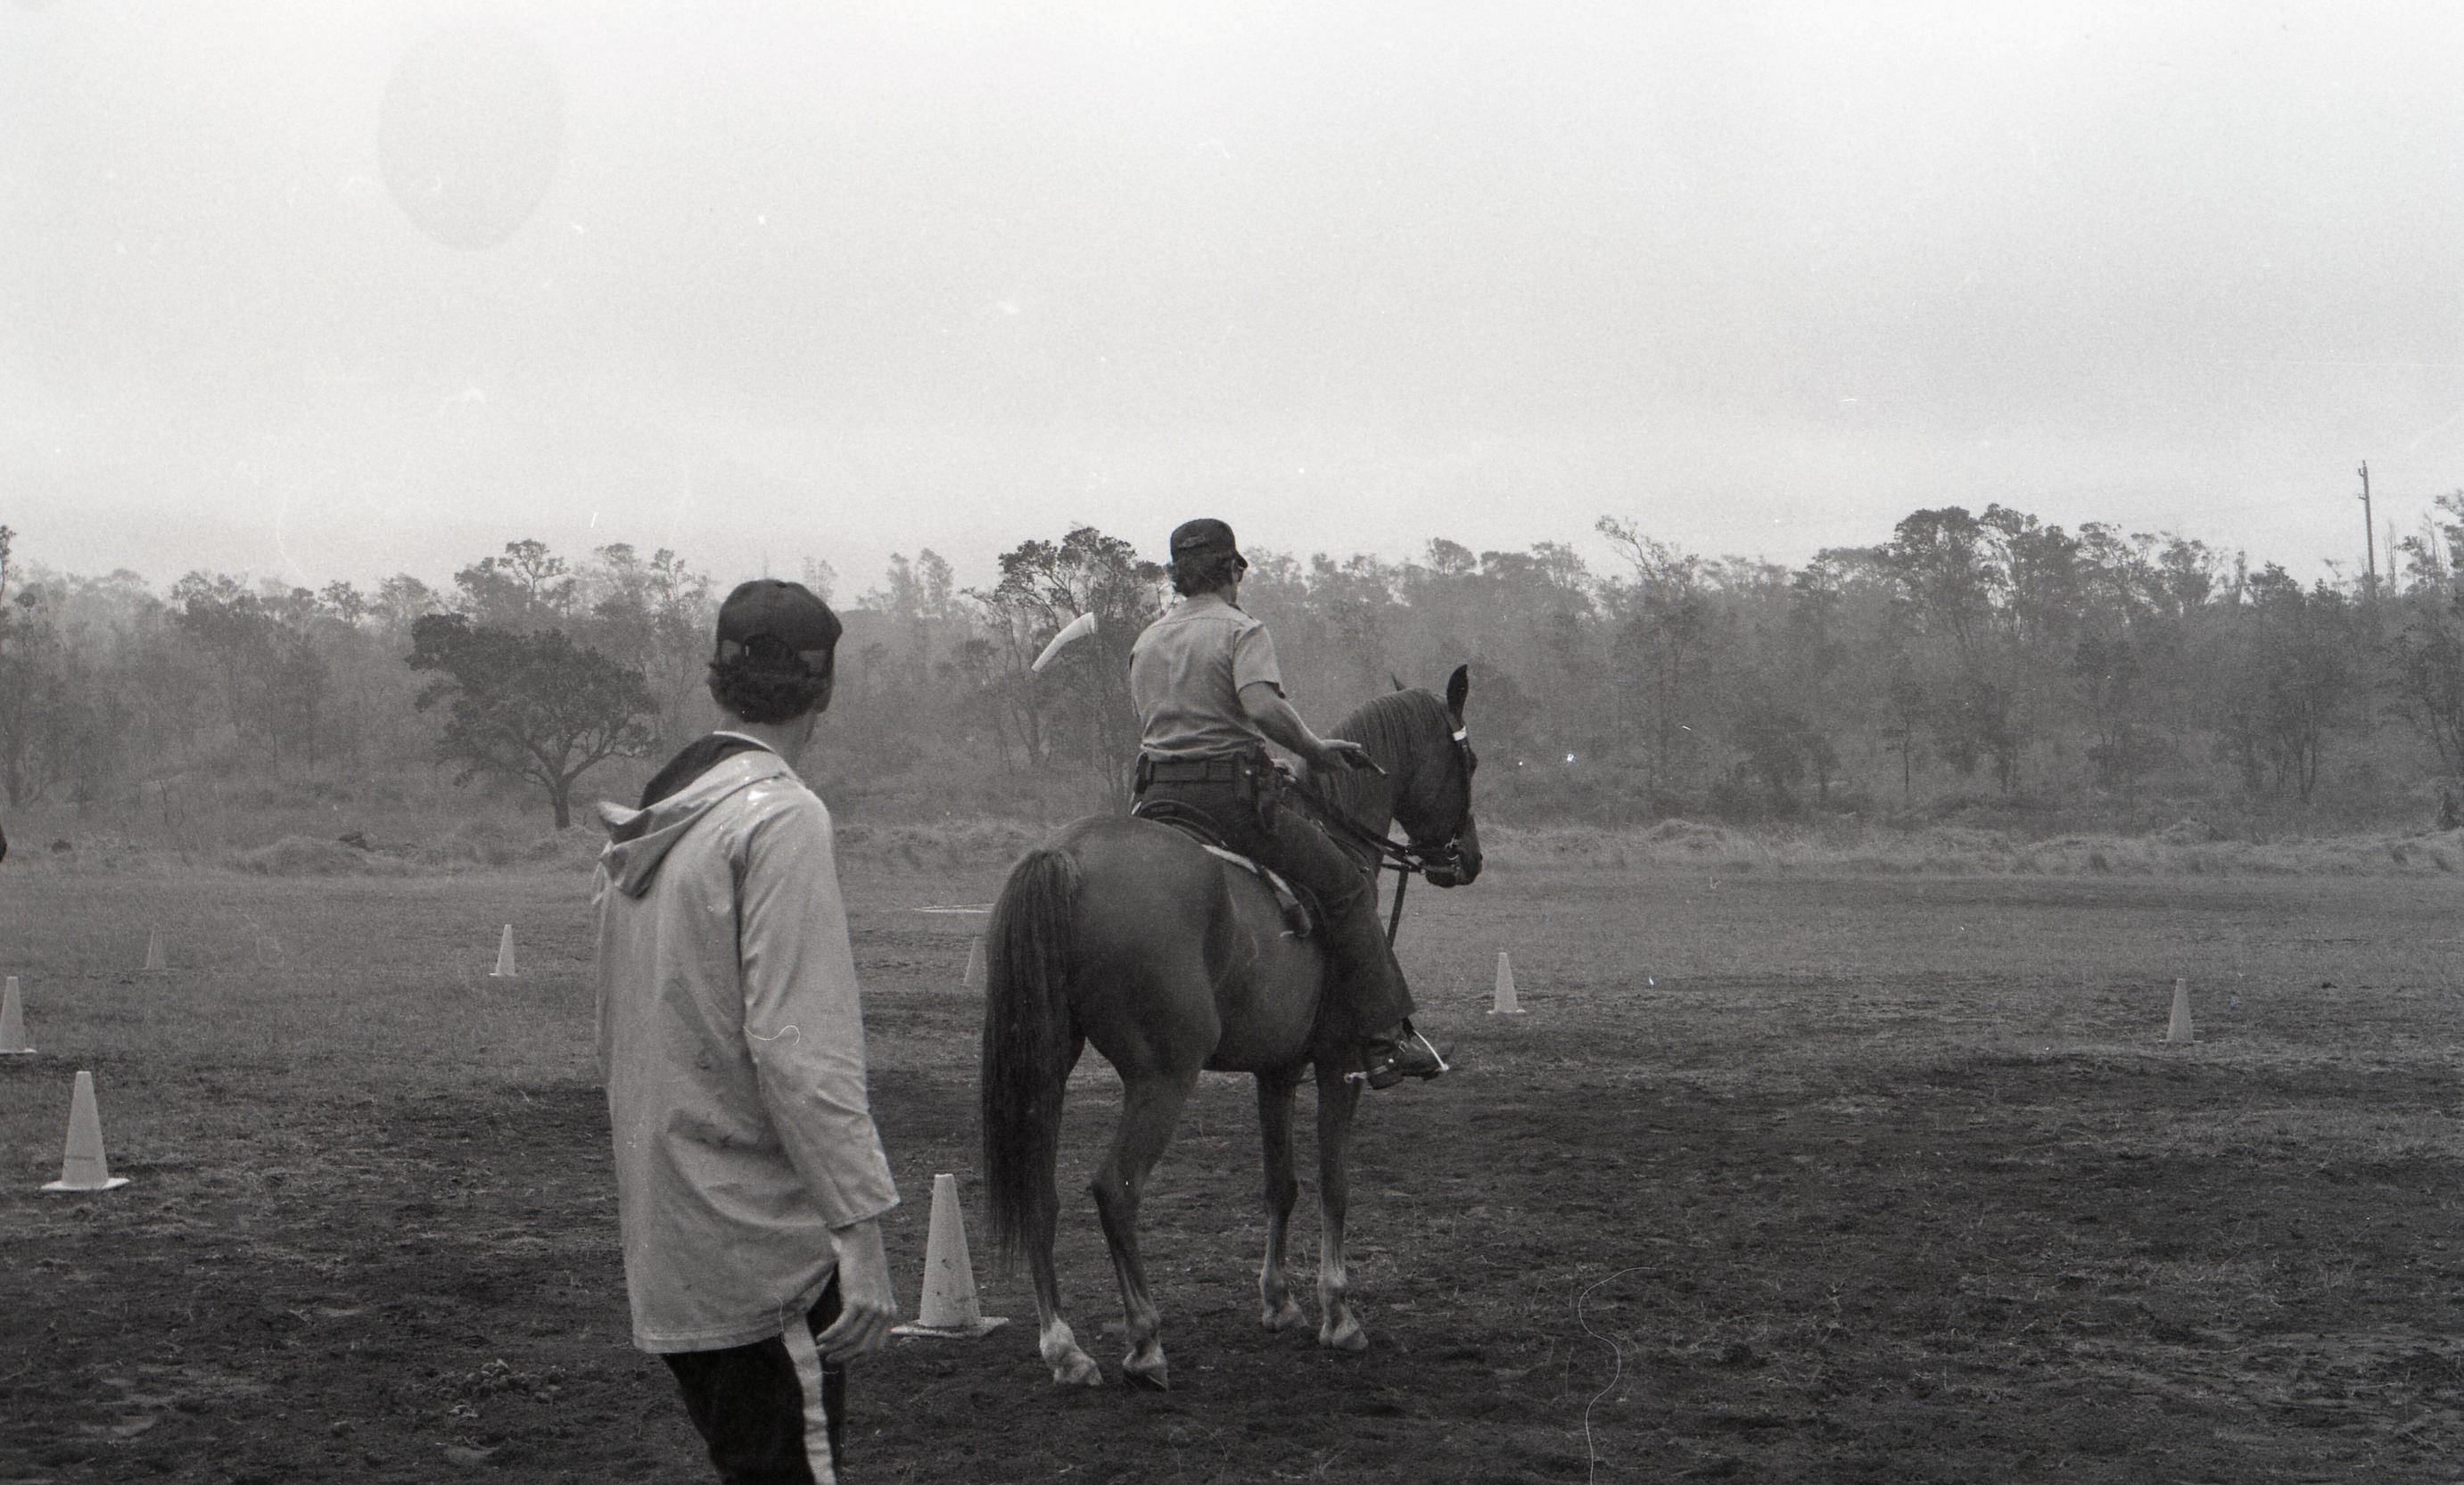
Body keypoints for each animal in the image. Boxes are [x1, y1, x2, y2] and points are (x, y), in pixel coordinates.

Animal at [979, 666, 1483, 1388]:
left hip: (1045, 1066)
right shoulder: (1339, 1064)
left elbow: (1282, 1184)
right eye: (1467, 761)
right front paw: (1339, 1313)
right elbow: (1334, 1183)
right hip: (1163, 1074)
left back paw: (1065, 1348)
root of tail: (1063, 858)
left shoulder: (1276, 1071)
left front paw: (1278, 1301)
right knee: (1115, 1189)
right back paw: (1144, 1340)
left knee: (1039, 1197)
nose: (1466, 857)